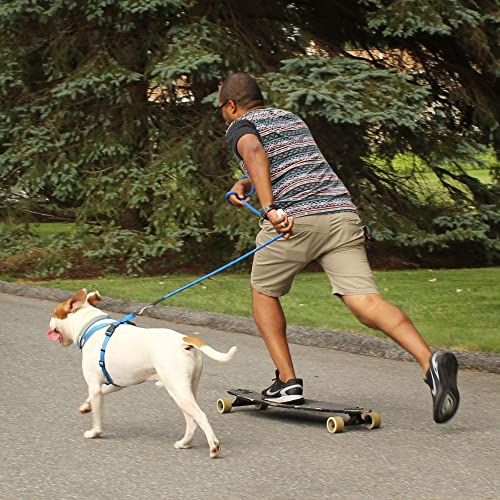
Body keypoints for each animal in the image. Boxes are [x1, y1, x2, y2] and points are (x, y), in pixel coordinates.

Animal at [47, 290, 236, 458]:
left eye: (54, 313)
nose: (49, 324)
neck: (92, 327)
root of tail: (184, 340)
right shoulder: (116, 384)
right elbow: (100, 394)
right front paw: (86, 406)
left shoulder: (94, 385)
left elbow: (97, 415)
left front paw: (95, 432)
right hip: (188, 390)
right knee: (192, 420)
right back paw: (184, 443)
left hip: (178, 391)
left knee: (200, 416)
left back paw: (213, 447)